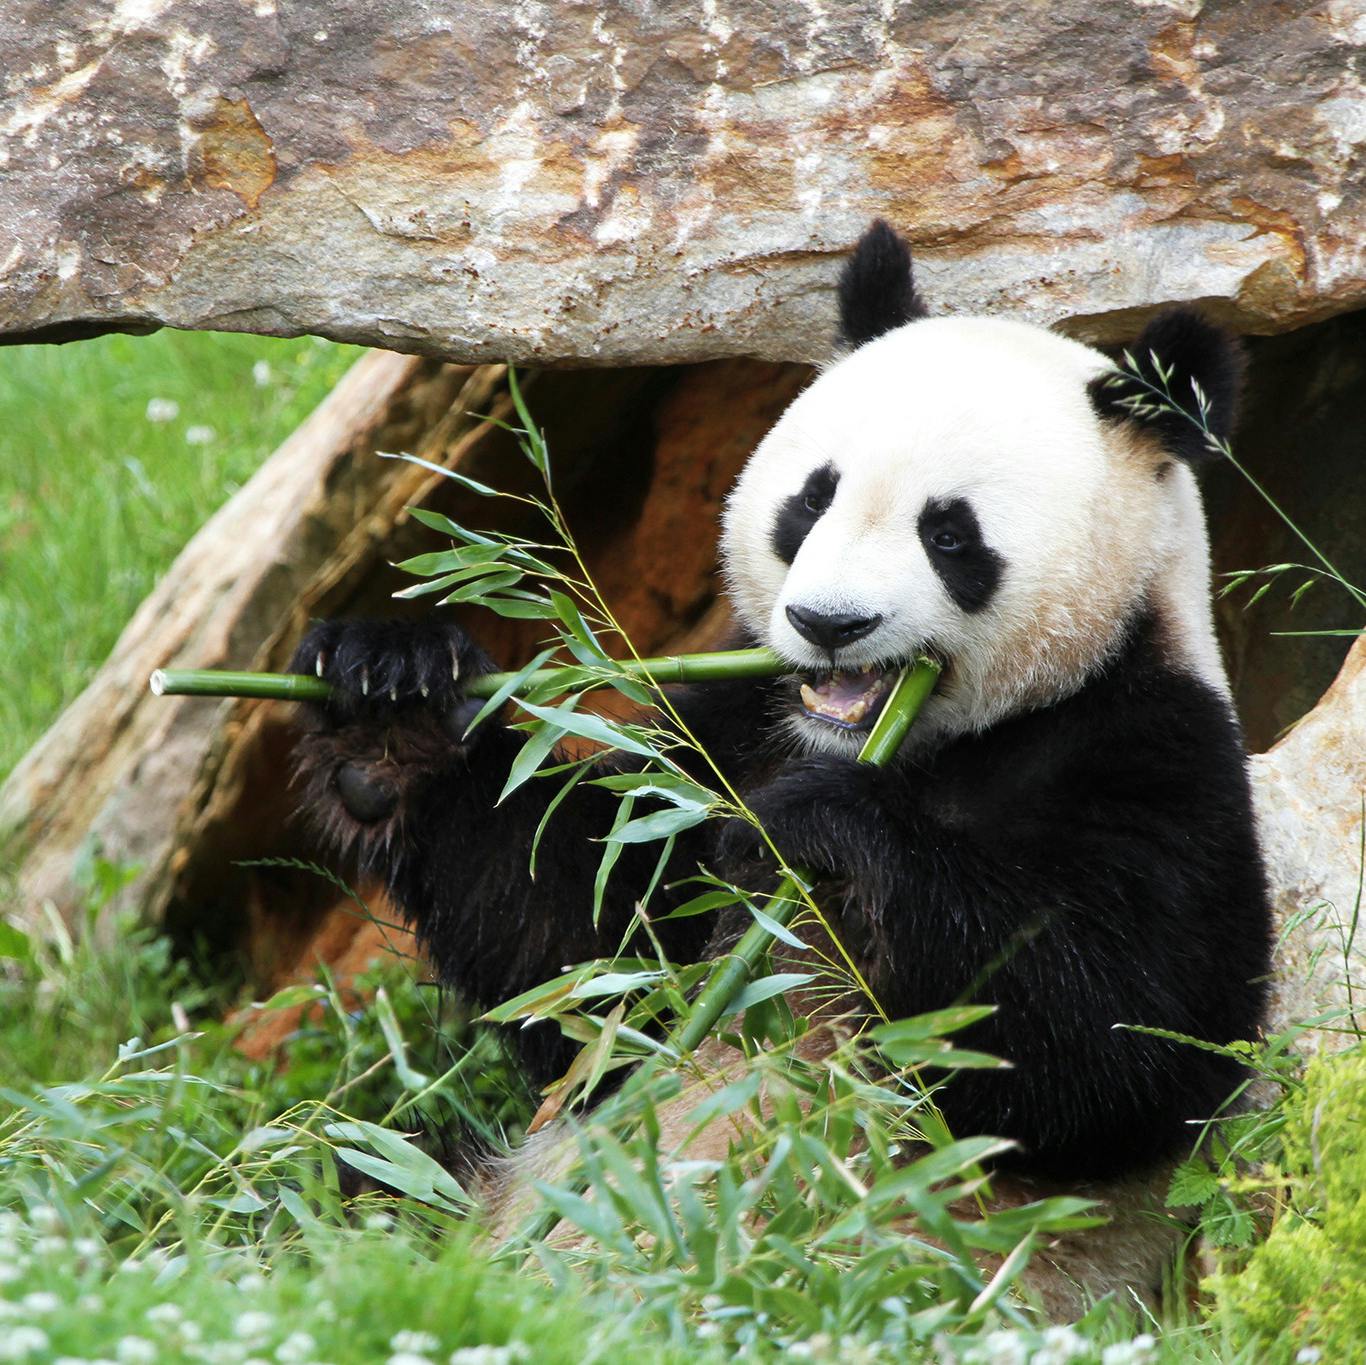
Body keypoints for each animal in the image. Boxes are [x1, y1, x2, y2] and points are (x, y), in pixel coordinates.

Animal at [290, 221, 1271, 1191]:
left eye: (950, 534)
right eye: (812, 498)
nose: (829, 623)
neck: (914, 743)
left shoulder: (1148, 748)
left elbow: (1116, 1040)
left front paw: (821, 827)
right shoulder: (734, 730)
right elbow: (578, 935)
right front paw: (391, 699)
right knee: (356, 1183)